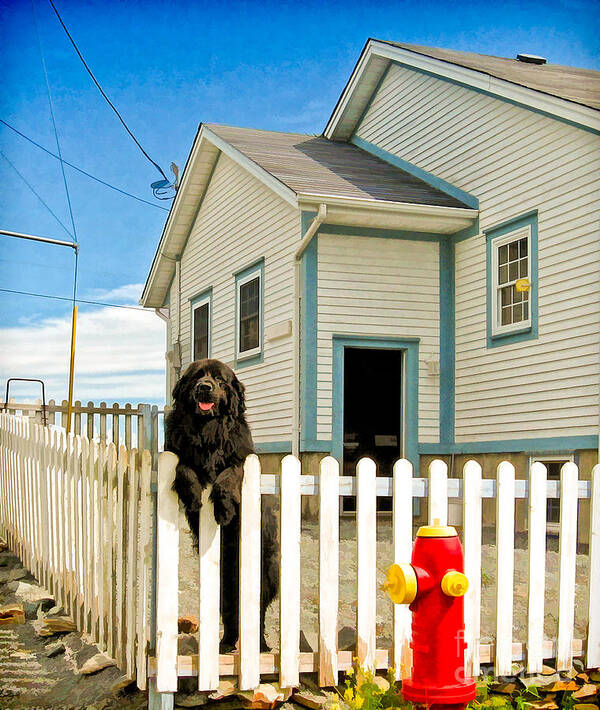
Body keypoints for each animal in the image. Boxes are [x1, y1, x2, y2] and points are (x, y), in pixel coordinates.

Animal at [163, 358, 278, 652]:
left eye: (219, 379)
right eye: (196, 377)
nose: (205, 387)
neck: (208, 431)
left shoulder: (243, 459)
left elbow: (228, 476)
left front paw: (224, 510)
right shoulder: (176, 453)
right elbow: (183, 468)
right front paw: (194, 496)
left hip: (264, 575)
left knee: (257, 613)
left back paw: (260, 646)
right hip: (223, 582)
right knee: (230, 612)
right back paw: (225, 643)